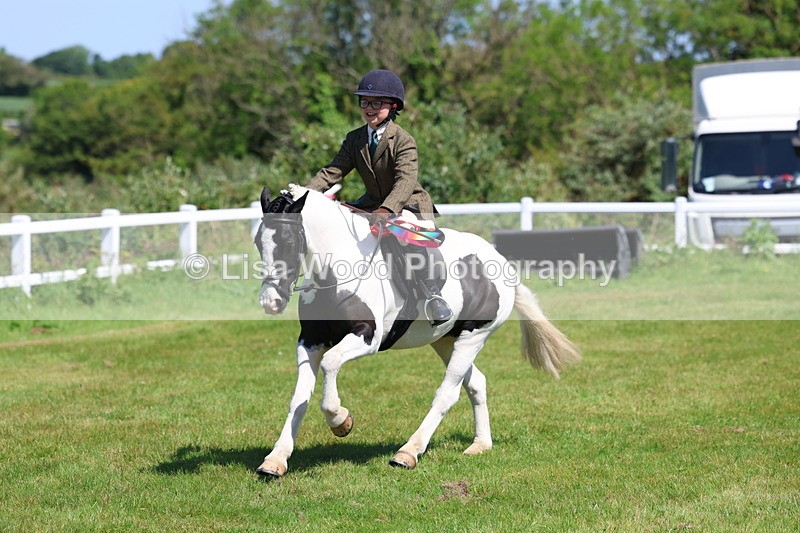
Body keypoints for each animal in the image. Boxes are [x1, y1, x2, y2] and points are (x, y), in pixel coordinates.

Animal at [254, 184, 579, 478]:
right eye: (258, 241)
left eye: (287, 240)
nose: (271, 302)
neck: (335, 272)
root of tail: (502, 263)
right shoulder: (310, 341)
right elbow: (299, 398)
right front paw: (276, 459)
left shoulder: (366, 338)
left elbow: (332, 365)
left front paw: (341, 421)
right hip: (447, 340)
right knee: (477, 383)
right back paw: (480, 444)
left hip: (473, 338)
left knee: (447, 394)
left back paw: (408, 452)